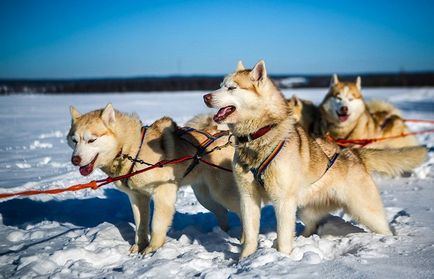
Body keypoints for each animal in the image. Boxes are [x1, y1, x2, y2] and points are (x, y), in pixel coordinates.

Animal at [203, 59, 428, 260]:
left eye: (231, 88)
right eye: (220, 85)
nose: (205, 96)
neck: (258, 135)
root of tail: (354, 153)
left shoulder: (283, 201)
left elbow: (284, 237)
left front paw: (283, 257)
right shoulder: (248, 198)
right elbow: (250, 235)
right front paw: (245, 260)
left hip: (364, 211)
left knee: (383, 228)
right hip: (305, 210)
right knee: (310, 226)